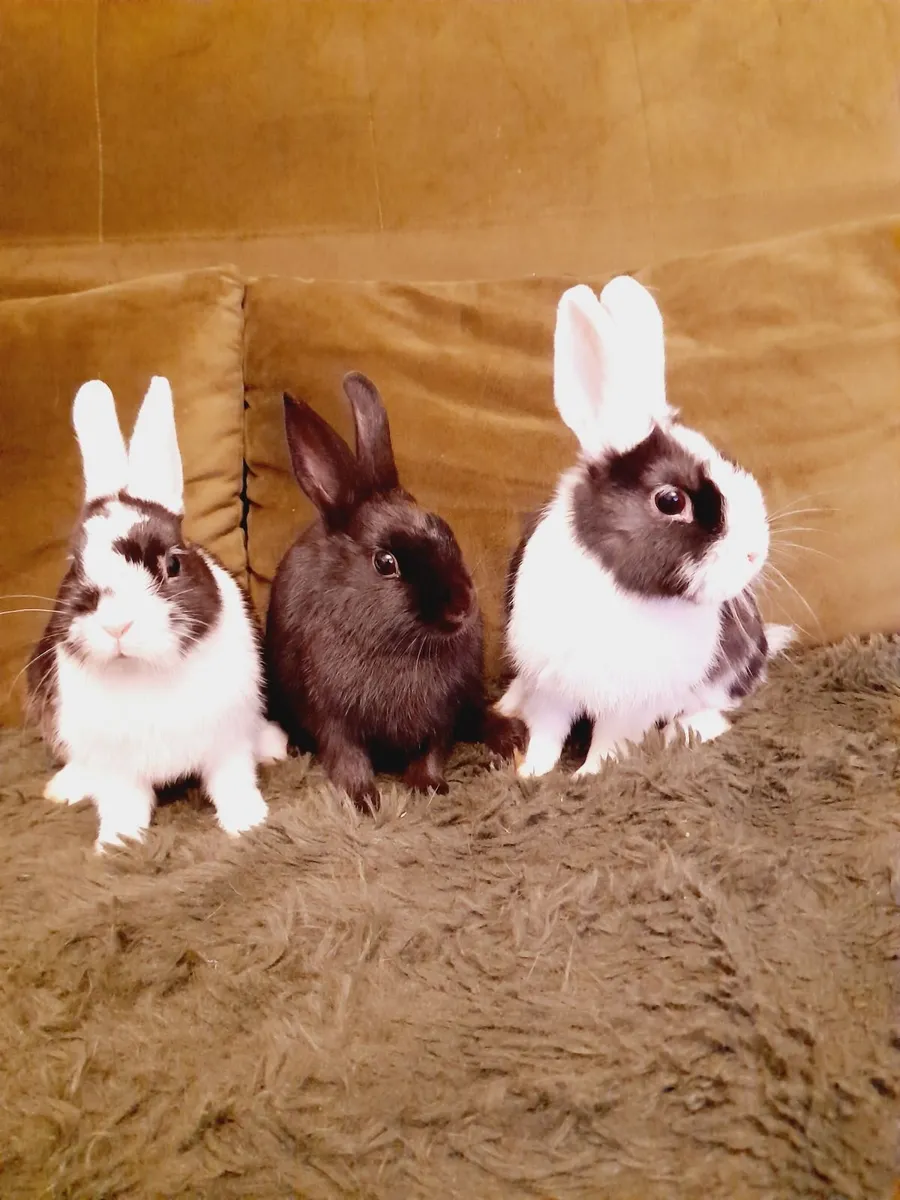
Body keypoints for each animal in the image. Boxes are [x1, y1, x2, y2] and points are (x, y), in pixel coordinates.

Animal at [27, 376, 288, 851]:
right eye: (74, 565)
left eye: (173, 564)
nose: (117, 625)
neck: (143, 670)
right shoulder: (116, 765)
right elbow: (122, 804)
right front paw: (115, 845)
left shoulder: (226, 741)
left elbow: (233, 783)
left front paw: (249, 823)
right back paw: (65, 787)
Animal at [265, 371, 523, 811]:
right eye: (386, 563)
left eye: (444, 528)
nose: (462, 605)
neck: (398, 645)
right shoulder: (332, 718)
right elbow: (347, 757)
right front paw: (364, 800)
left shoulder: (441, 714)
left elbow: (433, 749)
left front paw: (430, 786)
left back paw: (511, 735)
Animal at [497, 277, 793, 778]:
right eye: (671, 501)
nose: (755, 553)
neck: (620, 585)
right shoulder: (550, 684)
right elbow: (547, 732)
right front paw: (531, 774)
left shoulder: (631, 705)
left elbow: (610, 744)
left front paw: (587, 775)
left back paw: (688, 730)